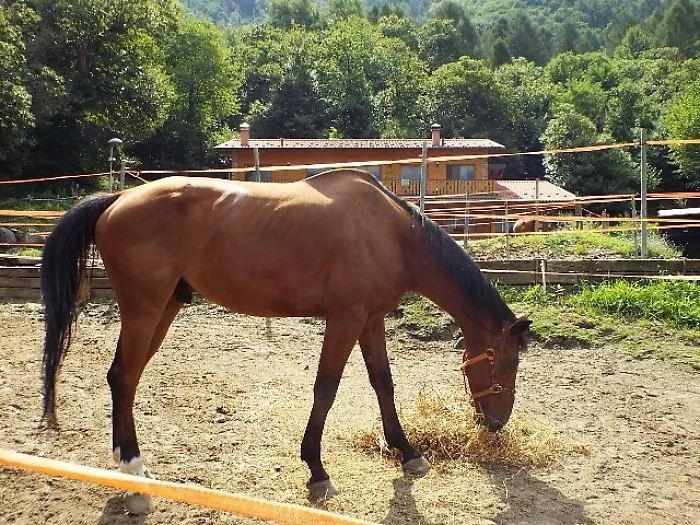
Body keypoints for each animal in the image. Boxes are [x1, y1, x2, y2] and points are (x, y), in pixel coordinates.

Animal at [41, 169, 531, 508]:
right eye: (509, 362)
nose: (497, 422)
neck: (392, 233)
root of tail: (118, 197)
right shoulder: (345, 319)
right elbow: (326, 387)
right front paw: (317, 470)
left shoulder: (371, 320)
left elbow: (383, 383)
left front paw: (407, 450)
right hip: (145, 309)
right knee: (124, 378)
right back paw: (135, 478)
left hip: (164, 308)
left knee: (124, 379)